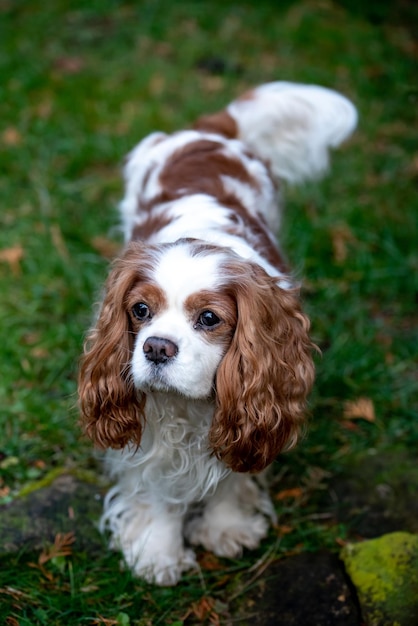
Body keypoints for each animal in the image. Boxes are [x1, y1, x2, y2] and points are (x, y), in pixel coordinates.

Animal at [78, 80, 356, 584]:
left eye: (209, 319)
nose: (156, 348)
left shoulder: (251, 407)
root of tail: (207, 132)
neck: (192, 408)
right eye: (140, 310)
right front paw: (158, 552)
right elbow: (159, 488)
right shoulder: (154, 431)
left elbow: (233, 473)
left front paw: (228, 528)